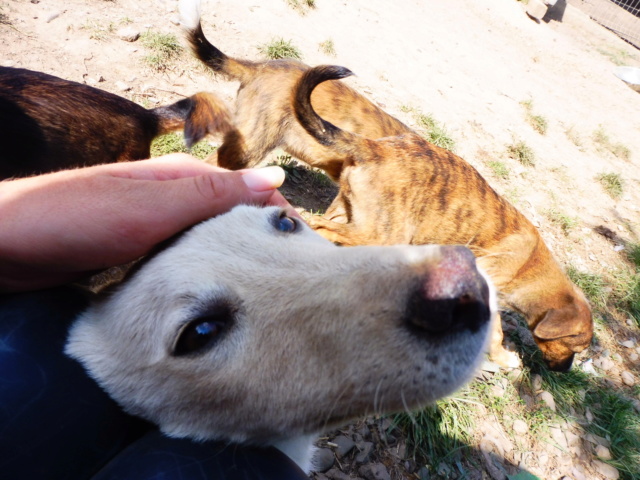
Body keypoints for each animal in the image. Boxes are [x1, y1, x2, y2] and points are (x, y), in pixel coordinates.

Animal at [296, 64, 596, 372]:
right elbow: (496, 332)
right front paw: (502, 357)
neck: (529, 268)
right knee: (319, 227)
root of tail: (375, 148)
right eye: (575, 347)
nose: (564, 371)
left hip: (350, 210)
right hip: (380, 235)